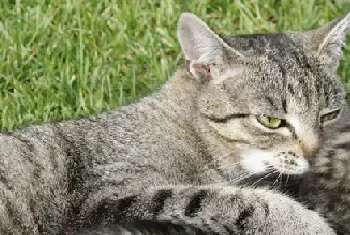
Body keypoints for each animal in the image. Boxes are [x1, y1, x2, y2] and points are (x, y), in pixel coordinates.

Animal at [0, 11, 350, 235]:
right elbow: (232, 200)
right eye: (271, 121)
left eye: (329, 115)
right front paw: (307, 224)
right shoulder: (105, 196)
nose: (315, 154)